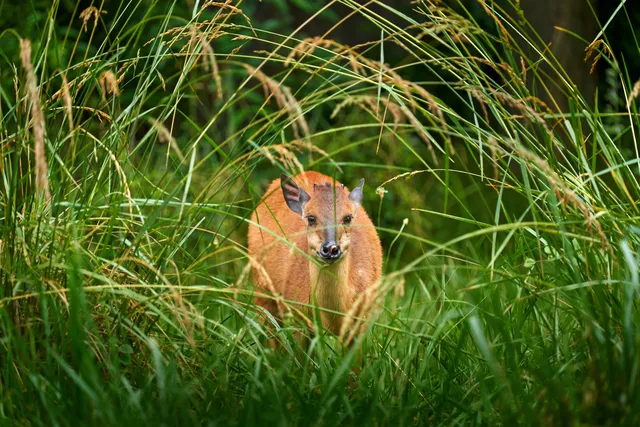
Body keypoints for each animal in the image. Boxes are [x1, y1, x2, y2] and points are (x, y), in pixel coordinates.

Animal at [247, 171, 383, 336]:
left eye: (348, 217)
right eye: (311, 218)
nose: (331, 248)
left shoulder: (362, 318)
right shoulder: (298, 314)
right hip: (262, 287)